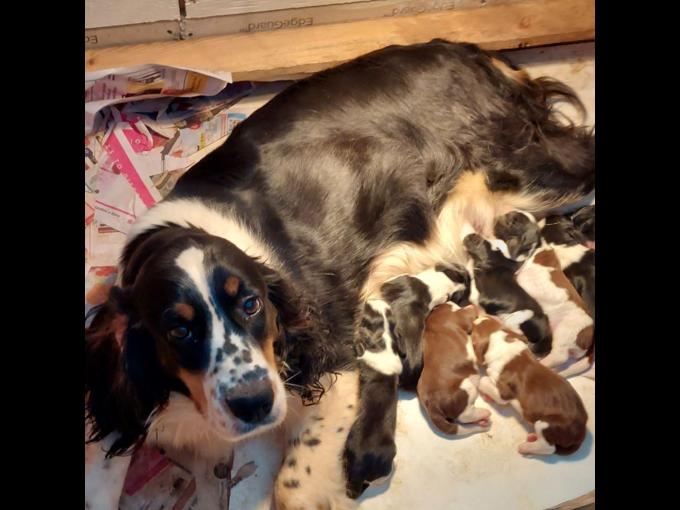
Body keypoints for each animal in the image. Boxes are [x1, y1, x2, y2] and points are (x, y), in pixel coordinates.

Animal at [418, 302, 492, 434]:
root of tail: (431, 404)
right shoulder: (462, 316)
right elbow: (471, 311)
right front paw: (476, 307)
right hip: (466, 386)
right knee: (465, 416)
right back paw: (484, 413)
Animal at [470, 316, 588, 456]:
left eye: (471, 331)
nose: (477, 317)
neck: (502, 342)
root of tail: (581, 434)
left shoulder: (504, 393)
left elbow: (483, 381)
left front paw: (486, 390)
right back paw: (532, 437)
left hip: (545, 424)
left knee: (549, 448)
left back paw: (526, 447)